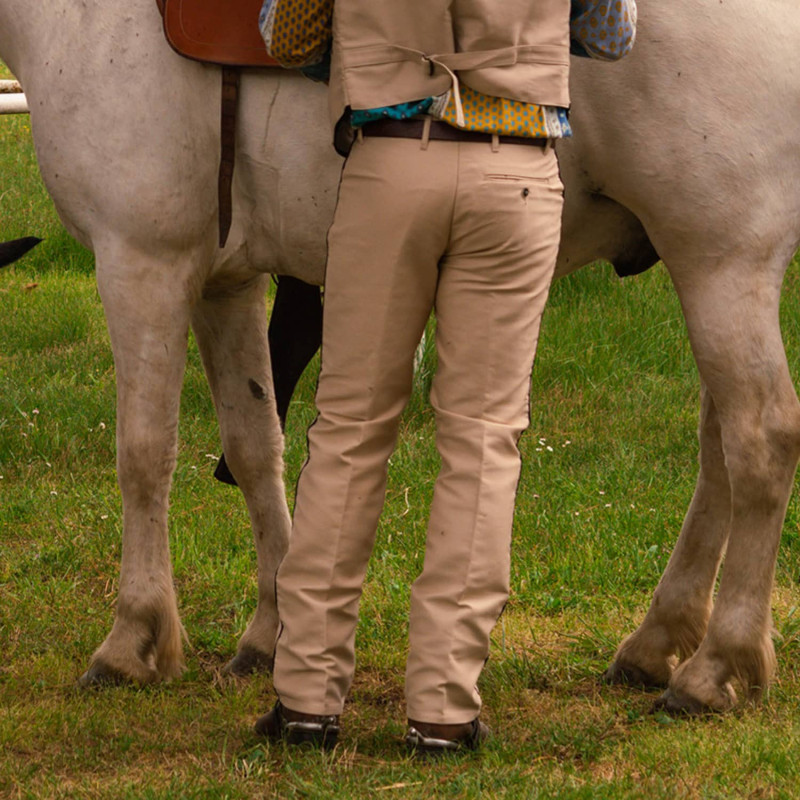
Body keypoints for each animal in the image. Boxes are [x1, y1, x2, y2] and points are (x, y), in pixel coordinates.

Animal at [1, 0, 800, 712]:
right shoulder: (226, 281)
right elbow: (256, 446)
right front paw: (271, 632)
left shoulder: (141, 261)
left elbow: (142, 455)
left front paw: (132, 641)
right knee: (719, 449)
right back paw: (658, 642)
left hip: (721, 262)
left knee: (760, 440)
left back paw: (716, 668)